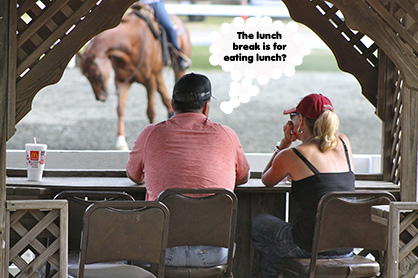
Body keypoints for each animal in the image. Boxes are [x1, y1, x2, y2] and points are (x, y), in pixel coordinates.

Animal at [79, 5, 192, 150]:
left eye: (96, 75)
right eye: (85, 76)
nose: (100, 97)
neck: (131, 42)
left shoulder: (150, 80)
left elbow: (150, 111)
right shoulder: (121, 81)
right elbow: (120, 109)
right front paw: (121, 143)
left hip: (178, 70)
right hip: (159, 75)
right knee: (166, 100)